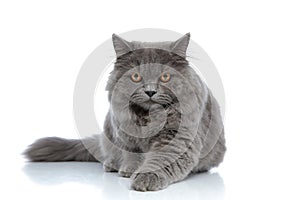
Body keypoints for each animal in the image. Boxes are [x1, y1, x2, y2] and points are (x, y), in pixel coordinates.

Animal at [24, 33, 225, 192]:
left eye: (165, 77)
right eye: (136, 77)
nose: (150, 91)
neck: (146, 117)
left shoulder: (177, 138)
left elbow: (161, 160)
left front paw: (145, 177)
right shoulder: (123, 133)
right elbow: (132, 154)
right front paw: (129, 170)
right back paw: (112, 164)